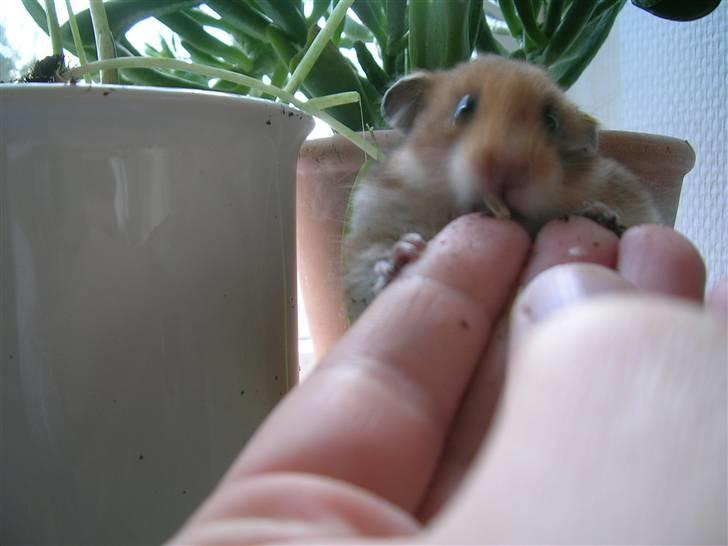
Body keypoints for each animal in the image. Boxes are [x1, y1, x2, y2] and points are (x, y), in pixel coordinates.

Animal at [343, 55, 661, 321]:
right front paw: (403, 252)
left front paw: (601, 214)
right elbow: (371, 262)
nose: (510, 171)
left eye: (552, 120)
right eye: (463, 107)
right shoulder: (369, 230)